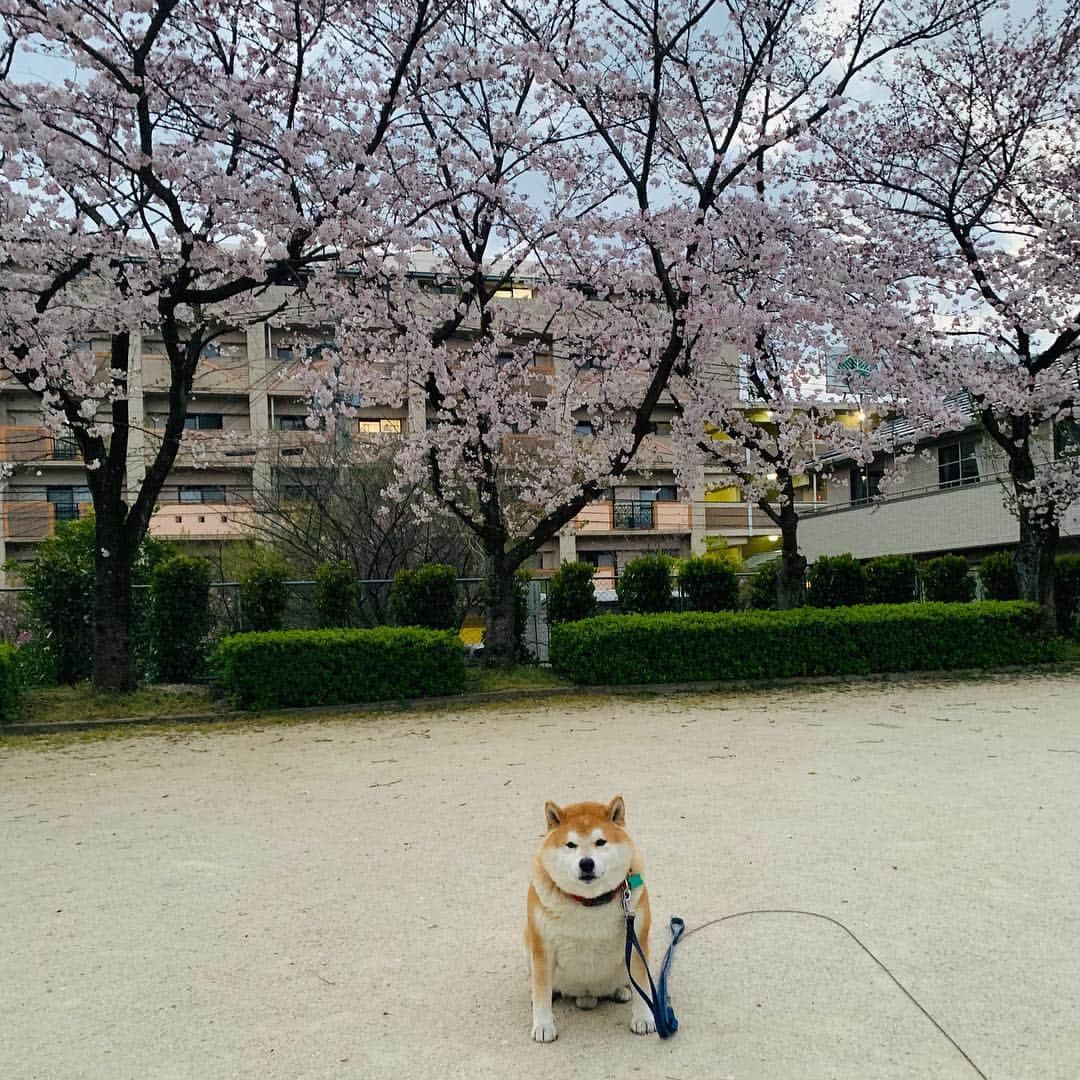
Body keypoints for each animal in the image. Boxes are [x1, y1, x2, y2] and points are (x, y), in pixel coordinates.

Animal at [524, 799, 656, 1041]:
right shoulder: (542, 947)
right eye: (571, 845)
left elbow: (642, 985)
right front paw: (543, 1025)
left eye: (600, 842)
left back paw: (621, 991)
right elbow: (541, 991)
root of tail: (587, 995)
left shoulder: (636, 942)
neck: (589, 902)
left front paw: (643, 1018)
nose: (586, 863)